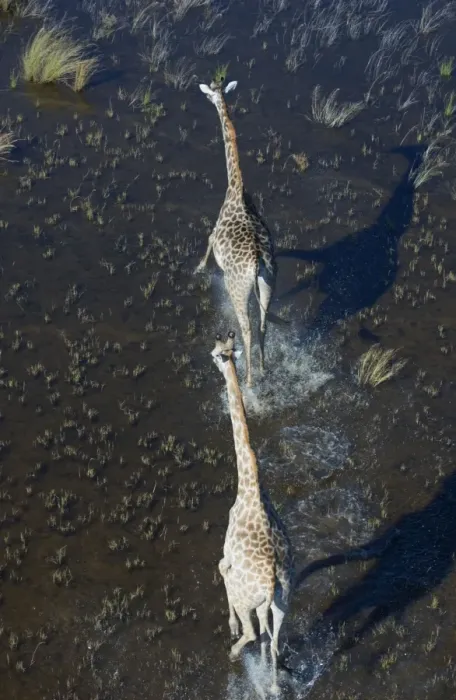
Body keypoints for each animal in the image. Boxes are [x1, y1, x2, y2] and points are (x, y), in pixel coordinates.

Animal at [196, 78, 278, 388]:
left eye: (210, 94)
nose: (211, 99)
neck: (236, 188)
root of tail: (255, 263)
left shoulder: (214, 228)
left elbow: (207, 241)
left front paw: (197, 269)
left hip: (237, 290)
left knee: (248, 329)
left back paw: (250, 380)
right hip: (269, 284)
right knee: (264, 325)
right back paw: (264, 369)